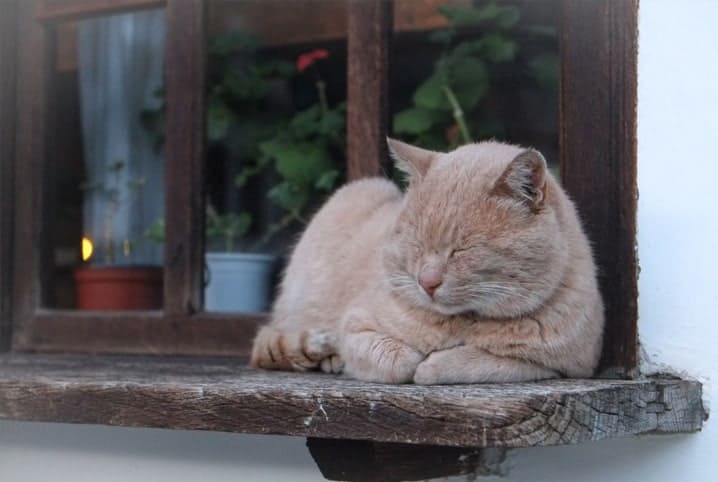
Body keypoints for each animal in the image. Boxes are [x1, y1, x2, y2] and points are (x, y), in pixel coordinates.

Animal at [250, 138, 604, 384]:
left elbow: (479, 362)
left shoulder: (564, 367)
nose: (427, 282)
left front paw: (435, 363)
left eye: (462, 250)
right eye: (417, 245)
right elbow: (398, 359)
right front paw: (413, 360)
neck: (463, 321)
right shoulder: (355, 328)